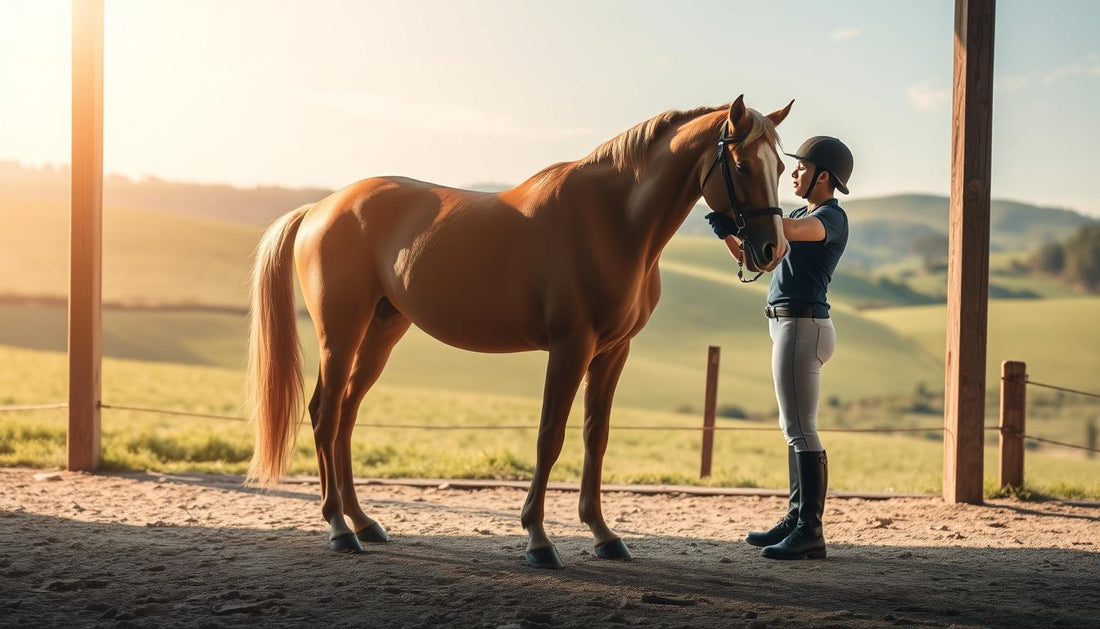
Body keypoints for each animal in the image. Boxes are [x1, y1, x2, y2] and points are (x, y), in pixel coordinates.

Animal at [246, 95, 793, 568]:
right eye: (743, 166)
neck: (611, 221)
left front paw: (603, 534)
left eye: (782, 169)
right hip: (341, 333)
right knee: (325, 414)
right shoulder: (571, 347)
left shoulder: (613, 352)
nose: (772, 250)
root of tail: (320, 208)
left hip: (381, 331)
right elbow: (550, 436)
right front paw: (538, 539)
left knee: (345, 416)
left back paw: (362, 522)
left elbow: (596, 436)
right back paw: (339, 528)